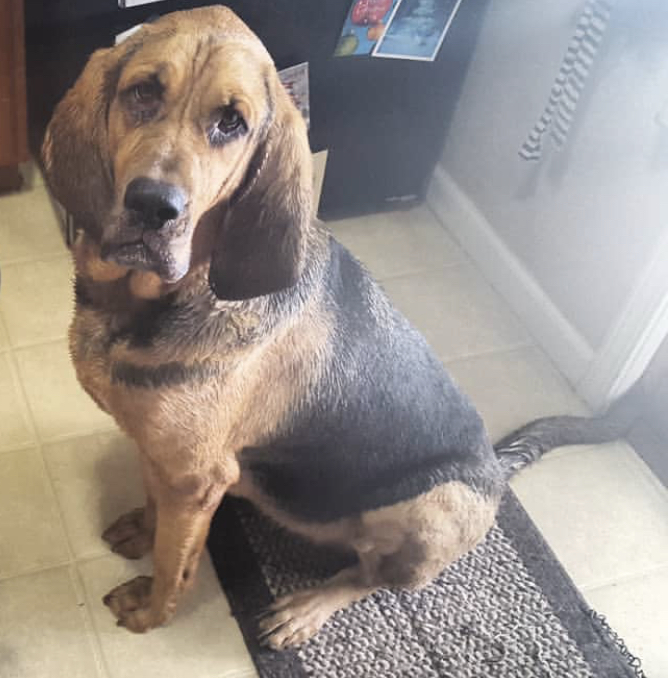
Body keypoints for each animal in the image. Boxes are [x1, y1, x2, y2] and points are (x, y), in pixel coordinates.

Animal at [40, 6, 628, 652]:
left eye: (231, 122)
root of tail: (497, 472)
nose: (153, 207)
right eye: (142, 91)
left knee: (372, 576)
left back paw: (306, 608)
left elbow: (174, 563)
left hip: (431, 509)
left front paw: (150, 610)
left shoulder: (195, 478)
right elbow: (154, 506)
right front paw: (141, 532)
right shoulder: (162, 454)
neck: (151, 300)